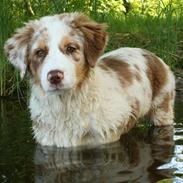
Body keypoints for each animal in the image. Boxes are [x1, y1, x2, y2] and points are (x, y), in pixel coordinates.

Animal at [4, 12, 175, 147]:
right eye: (39, 52)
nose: (55, 76)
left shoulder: (105, 138)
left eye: (71, 48)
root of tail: (148, 52)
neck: (66, 104)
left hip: (163, 108)